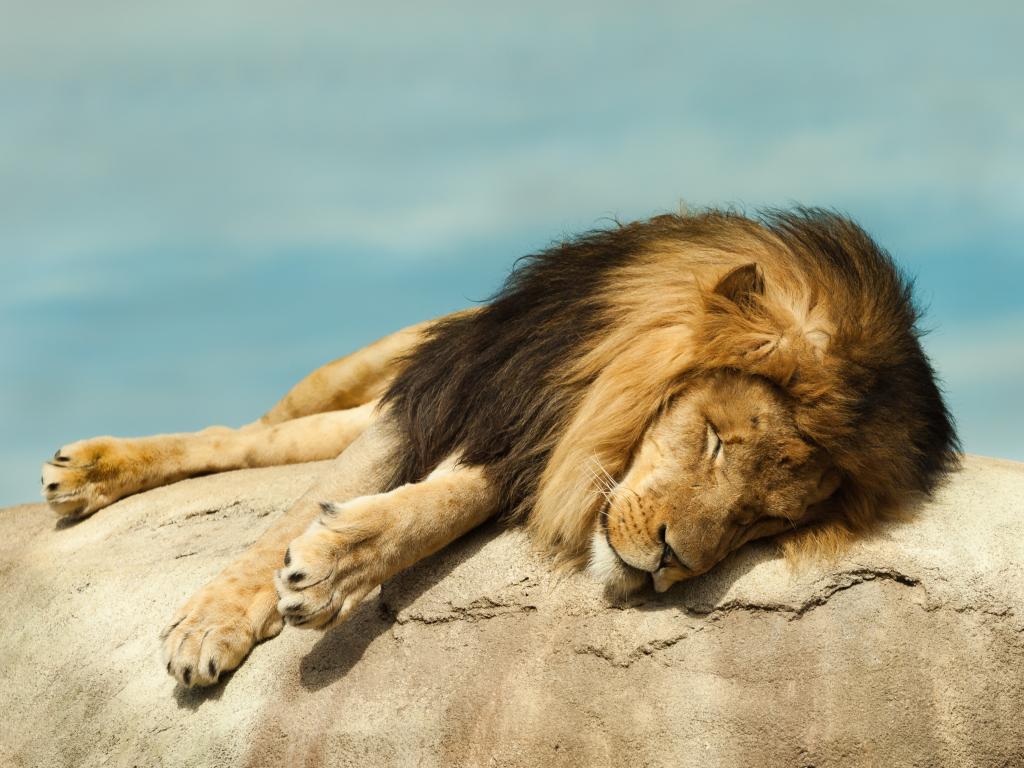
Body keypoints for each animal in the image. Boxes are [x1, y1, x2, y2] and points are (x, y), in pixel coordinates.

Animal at [36, 207, 954, 688]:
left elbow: (434, 506)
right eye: (716, 440)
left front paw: (336, 566)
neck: (587, 391)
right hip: (396, 353)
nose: (669, 562)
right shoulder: (464, 388)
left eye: (765, 520)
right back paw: (90, 469)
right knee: (253, 430)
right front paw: (216, 624)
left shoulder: (522, 445)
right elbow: (285, 520)